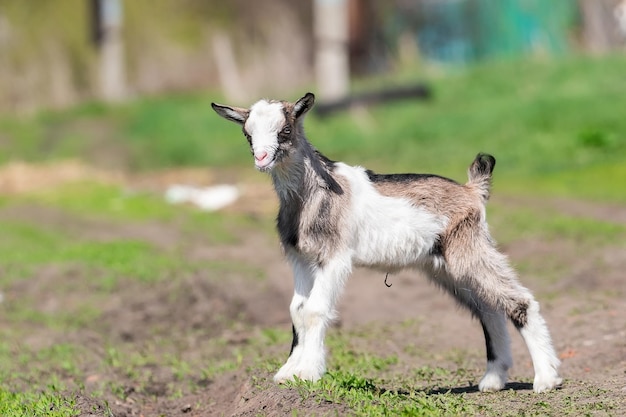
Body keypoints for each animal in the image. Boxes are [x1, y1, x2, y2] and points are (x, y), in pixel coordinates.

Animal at [211, 92, 560, 394]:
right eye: (248, 134)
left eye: (285, 129)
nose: (261, 158)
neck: (314, 194)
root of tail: (472, 190)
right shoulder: (300, 257)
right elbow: (297, 310)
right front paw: (288, 372)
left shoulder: (335, 257)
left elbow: (315, 309)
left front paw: (308, 372)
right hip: (445, 266)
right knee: (489, 309)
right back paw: (493, 379)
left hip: (469, 248)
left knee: (519, 301)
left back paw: (546, 378)